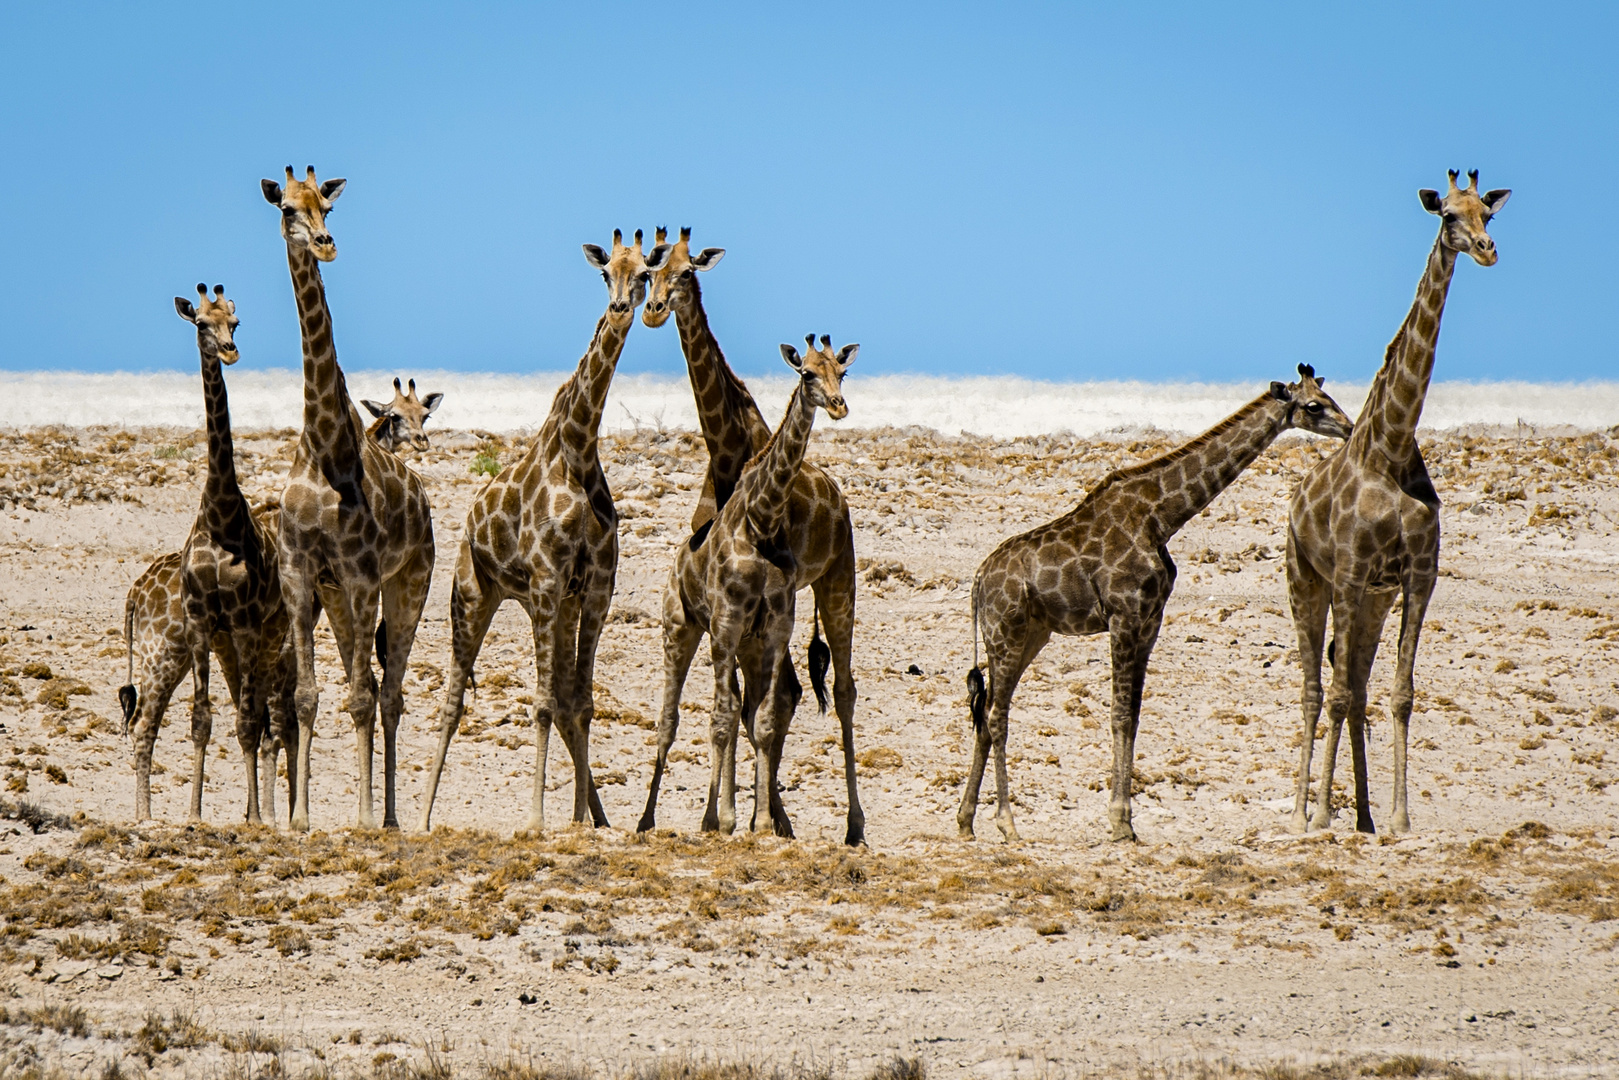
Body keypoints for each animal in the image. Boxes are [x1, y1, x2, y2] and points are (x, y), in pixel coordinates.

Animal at [262, 166, 437, 835]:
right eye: (287, 208)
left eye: (328, 205)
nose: (325, 242)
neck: (324, 447)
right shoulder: (301, 574)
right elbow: (307, 696)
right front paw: (299, 819)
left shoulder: (363, 577)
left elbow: (361, 698)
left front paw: (361, 816)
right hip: (339, 599)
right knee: (367, 684)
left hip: (408, 583)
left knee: (389, 694)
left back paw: (387, 817)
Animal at [420, 229, 673, 835]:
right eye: (605, 273)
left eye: (644, 274)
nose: (622, 308)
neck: (578, 451)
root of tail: (469, 517)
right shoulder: (546, 580)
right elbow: (540, 704)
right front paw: (536, 819)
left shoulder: (595, 587)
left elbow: (578, 702)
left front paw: (580, 819)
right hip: (473, 593)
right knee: (453, 699)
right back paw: (418, 817)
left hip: (551, 605)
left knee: (561, 698)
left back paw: (593, 816)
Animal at [634, 228, 867, 848]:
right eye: (650, 272)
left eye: (688, 272)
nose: (652, 309)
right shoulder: (729, 620)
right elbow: (730, 715)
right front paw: (725, 817)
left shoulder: (770, 619)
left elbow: (760, 715)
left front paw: (756, 818)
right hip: (694, 627)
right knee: (686, 714)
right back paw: (657, 817)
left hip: (837, 585)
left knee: (836, 692)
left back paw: (850, 825)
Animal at [958, 372, 1353, 841]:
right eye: (1314, 405)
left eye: (1328, 396)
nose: (1349, 428)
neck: (1162, 516)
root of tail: (979, 580)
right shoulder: (1123, 615)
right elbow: (1118, 715)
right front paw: (1117, 822)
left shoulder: (1150, 621)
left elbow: (1134, 715)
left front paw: (1127, 821)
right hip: (1006, 632)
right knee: (995, 715)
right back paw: (1007, 823)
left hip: (1030, 635)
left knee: (985, 713)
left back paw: (965, 822)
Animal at [1282, 173, 1508, 841]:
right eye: (1448, 215)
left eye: (1488, 213)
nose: (1486, 249)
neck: (1391, 443)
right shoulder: (1351, 571)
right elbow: (1332, 693)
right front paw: (1319, 815)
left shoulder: (1416, 576)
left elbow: (1400, 692)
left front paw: (1400, 817)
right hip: (1308, 583)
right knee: (1315, 687)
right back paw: (1303, 811)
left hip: (1372, 601)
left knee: (1354, 684)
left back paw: (1361, 815)